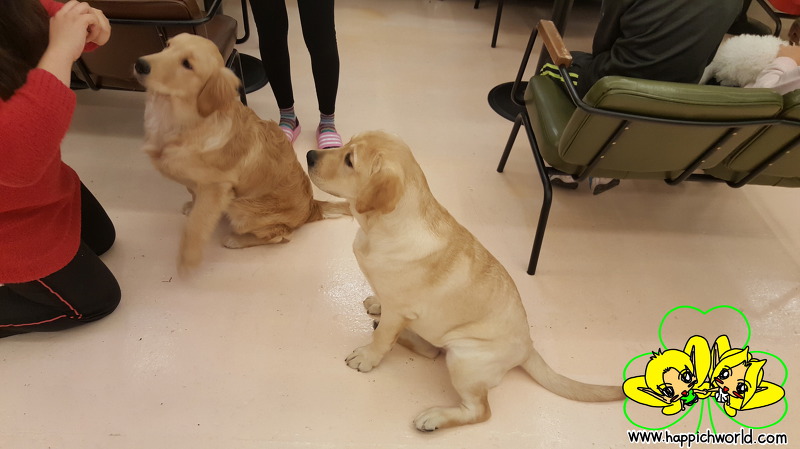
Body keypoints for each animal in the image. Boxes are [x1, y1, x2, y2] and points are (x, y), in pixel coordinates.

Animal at [135, 33, 346, 272]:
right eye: (167, 45)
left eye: (187, 64)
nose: (140, 64)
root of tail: (312, 208)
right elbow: (194, 195)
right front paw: (192, 205)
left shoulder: (217, 188)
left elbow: (196, 225)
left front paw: (188, 259)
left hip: (241, 207)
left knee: (281, 235)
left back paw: (236, 240)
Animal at [306, 130, 624, 430]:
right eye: (346, 144)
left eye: (350, 160)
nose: (309, 155)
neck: (381, 228)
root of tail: (528, 347)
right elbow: (385, 319)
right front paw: (377, 304)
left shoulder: (399, 309)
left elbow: (383, 337)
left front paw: (367, 357)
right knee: (432, 350)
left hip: (464, 359)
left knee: (479, 410)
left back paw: (434, 416)